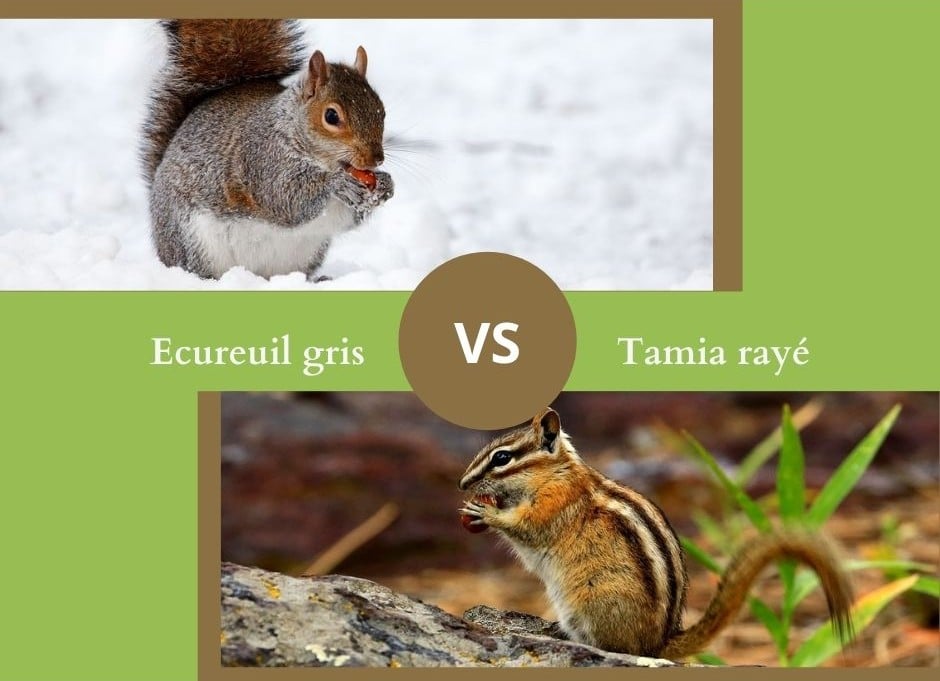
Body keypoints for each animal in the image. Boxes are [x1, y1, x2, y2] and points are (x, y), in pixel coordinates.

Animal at [140, 20, 394, 280]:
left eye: (382, 110)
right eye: (331, 116)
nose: (376, 159)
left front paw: (385, 185)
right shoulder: (262, 157)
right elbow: (284, 197)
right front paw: (338, 183)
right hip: (192, 240)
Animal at [458, 408, 855, 660]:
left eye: (502, 458)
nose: (463, 483)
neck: (556, 474)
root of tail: (659, 644)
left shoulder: (556, 504)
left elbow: (528, 528)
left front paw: (485, 512)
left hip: (593, 601)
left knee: (616, 648)